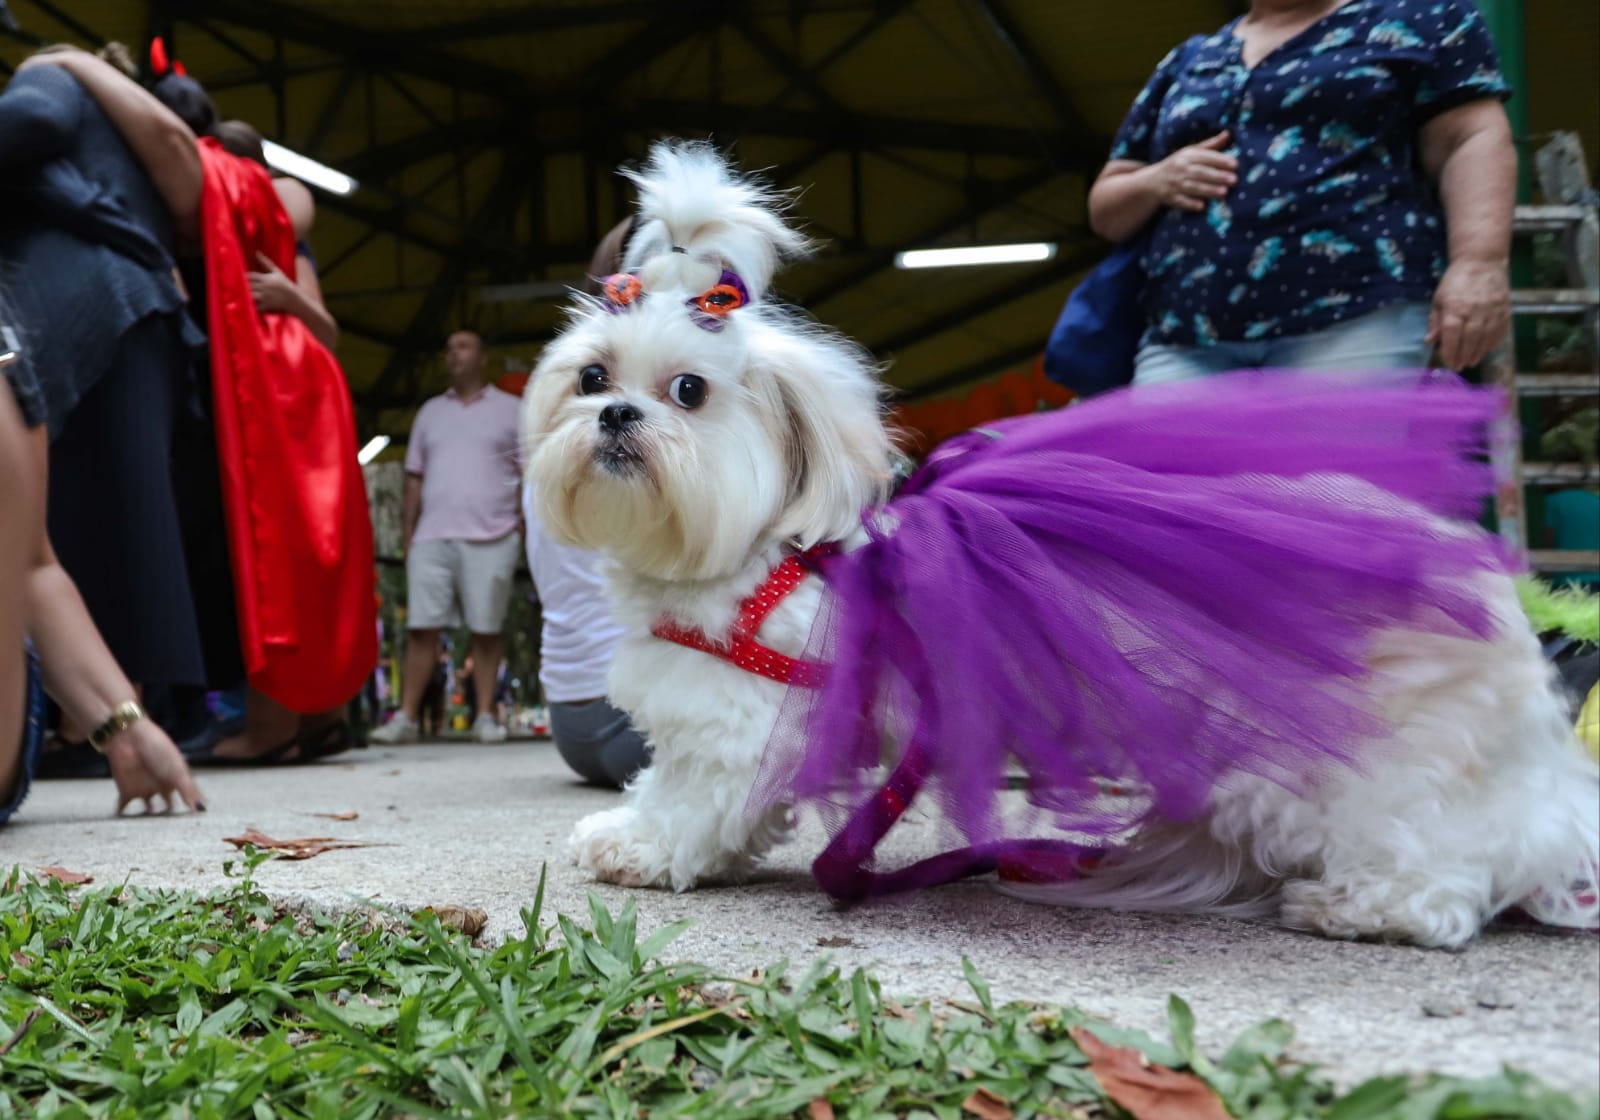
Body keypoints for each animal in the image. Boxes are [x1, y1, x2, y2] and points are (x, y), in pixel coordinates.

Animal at [524, 137, 1600, 947]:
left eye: (690, 391)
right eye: (591, 377)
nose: (615, 415)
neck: (760, 554)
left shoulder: (742, 722)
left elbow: (693, 801)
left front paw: (636, 846)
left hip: (1358, 756)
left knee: (1449, 855)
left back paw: (1369, 904)